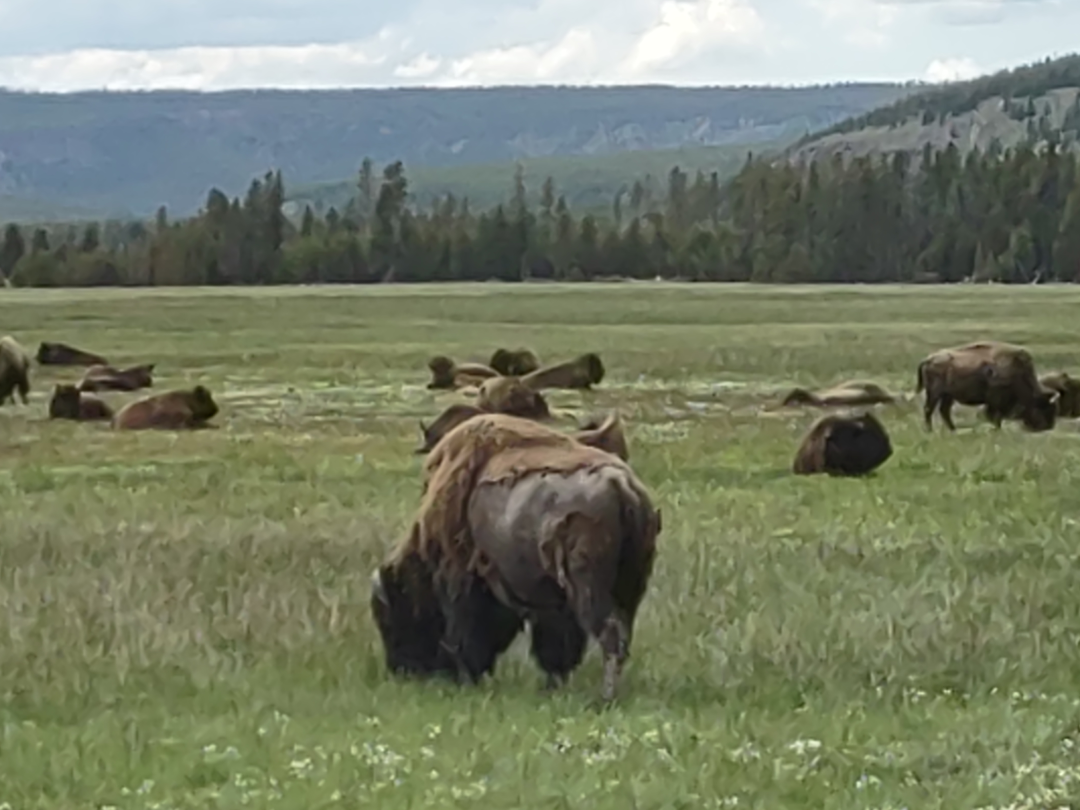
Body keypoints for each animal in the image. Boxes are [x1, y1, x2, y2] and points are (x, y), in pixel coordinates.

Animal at [372, 412, 661, 701]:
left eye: (391, 616)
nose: (402, 670)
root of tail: (621, 486)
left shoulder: (462, 583)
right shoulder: (552, 606)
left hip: (589, 586)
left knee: (610, 633)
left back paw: (605, 697)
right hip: (629, 587)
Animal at [916, 340, 1058, 432]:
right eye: (1043, 406)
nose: (1047, 426)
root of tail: (928, 359)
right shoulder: (996, 400)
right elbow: (996, 416)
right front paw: (997, 429)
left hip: (948, 395)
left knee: (944, 411)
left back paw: (953, 429)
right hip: (934, 393)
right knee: (929, 409)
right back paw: (930, 430)